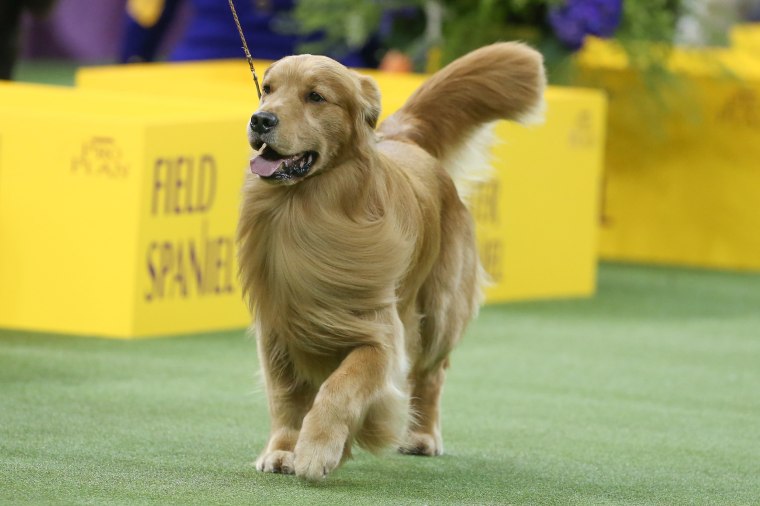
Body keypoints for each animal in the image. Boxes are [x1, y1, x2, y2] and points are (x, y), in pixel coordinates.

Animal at [238, 41, 548, 480]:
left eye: (315, 96)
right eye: (267, 89)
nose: (261, 119)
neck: (307, 209)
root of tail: (405, 139)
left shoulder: (379, 334)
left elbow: (340, 387)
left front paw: (317, 449)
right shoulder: (278, 327)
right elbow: (285, 396)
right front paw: (283, 448)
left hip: (441, 309)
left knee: (432, 374)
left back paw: (422, 435)